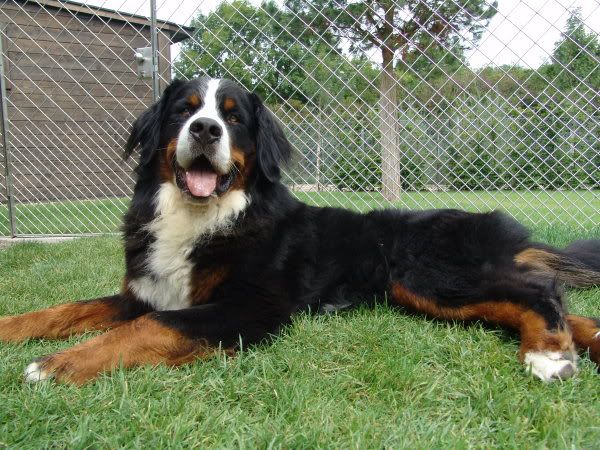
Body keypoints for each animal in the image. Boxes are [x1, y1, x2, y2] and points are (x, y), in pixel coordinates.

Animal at [1, 77, 599, 385]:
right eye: (184, 111)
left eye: (233, 117)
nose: (205, 129)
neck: (204, 218)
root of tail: (493, 223)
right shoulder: (144, 292)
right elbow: (62, 310)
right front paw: (13, 328)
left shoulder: (251, 306)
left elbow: (152, 328)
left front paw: (58, 364)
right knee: (558, 300)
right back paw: (580, 345)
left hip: (427, 274)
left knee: (538, 292)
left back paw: (548, 355)